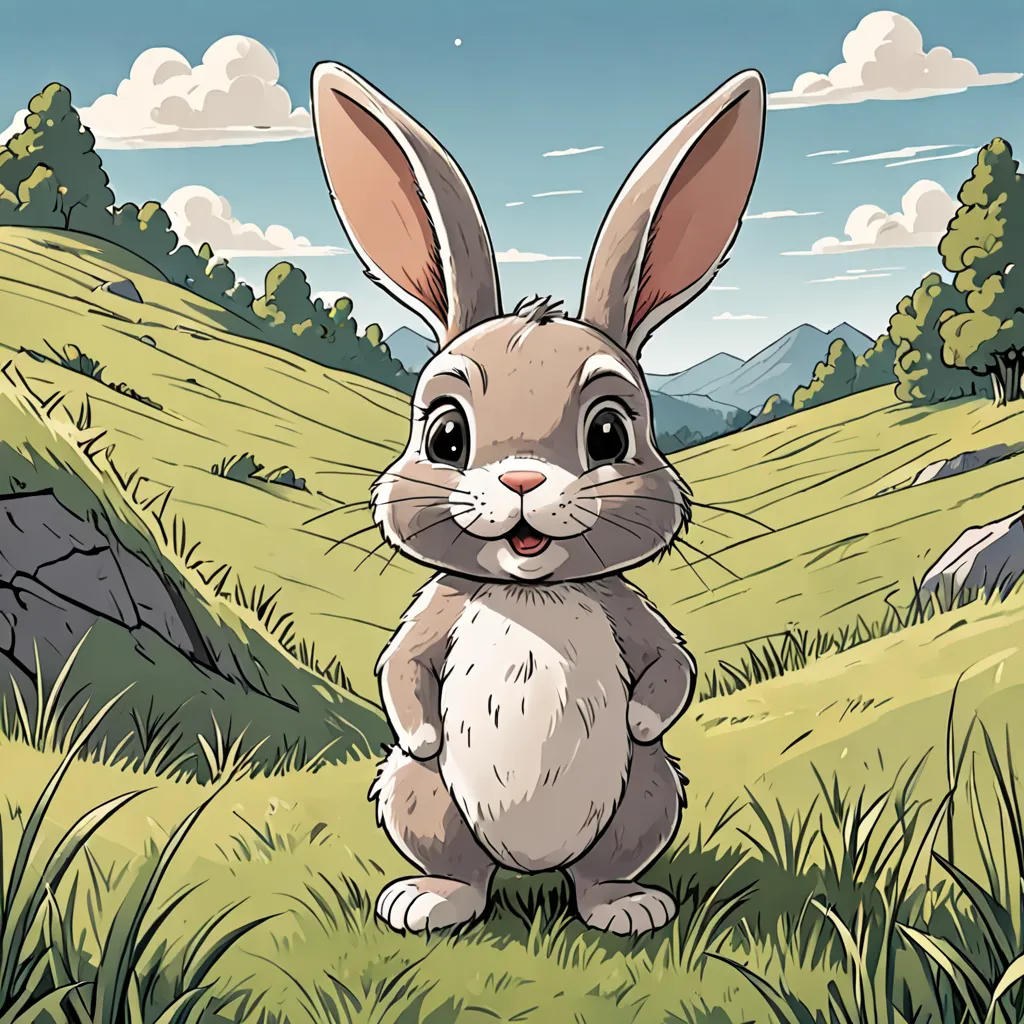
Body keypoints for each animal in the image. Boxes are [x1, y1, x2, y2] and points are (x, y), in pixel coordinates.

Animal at [311, 60, 765, 936]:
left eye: (611, 434)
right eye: (445, 435)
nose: (521, 481)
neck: (533, 597)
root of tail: (531, 871)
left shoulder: (628, 612)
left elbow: (673, 667)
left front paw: (640, 718)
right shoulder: (437, 614)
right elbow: (400, 669)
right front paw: (425, 734)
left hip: (646, 799)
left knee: (599, 871)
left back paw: (624, 906)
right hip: (423, 806)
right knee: (461, 865)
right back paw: (431, 901)